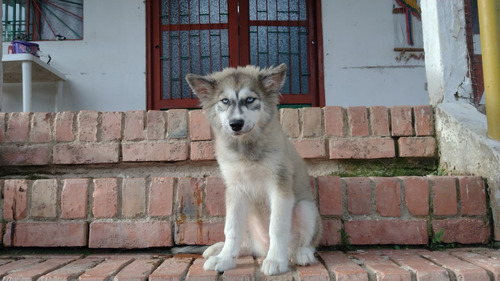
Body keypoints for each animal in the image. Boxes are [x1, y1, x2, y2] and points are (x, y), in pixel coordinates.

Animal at [186, 63, 322, 274]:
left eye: (250, 99)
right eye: (225, 101)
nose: (235, 124)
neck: (246, 152)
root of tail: (262, 248)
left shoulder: (280, 185)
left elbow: (277, 227)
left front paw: (275, 261)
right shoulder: (235, 190)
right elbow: (231, 230)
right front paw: (224, 259)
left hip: (305, 208)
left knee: (308, 241)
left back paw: (301, 254)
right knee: (245, 243)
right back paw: (218, 250)